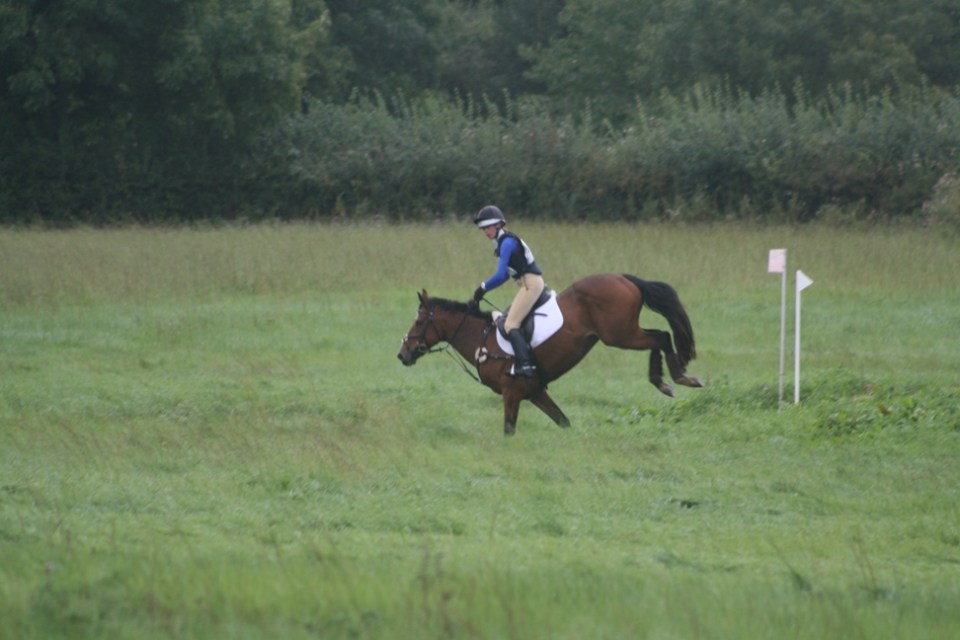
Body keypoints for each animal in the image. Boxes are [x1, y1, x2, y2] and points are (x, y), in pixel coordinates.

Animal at [397, 273, 702, 435]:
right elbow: (563, 422)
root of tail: (624, 278)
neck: (482, 339)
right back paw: (669, 379)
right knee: (659, 337)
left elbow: (509, 429)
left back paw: (674, 378)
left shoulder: (512, 392)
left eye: (419, 322)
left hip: (620, 335)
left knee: (660, 337)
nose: (402, 354)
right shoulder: (535, 392)